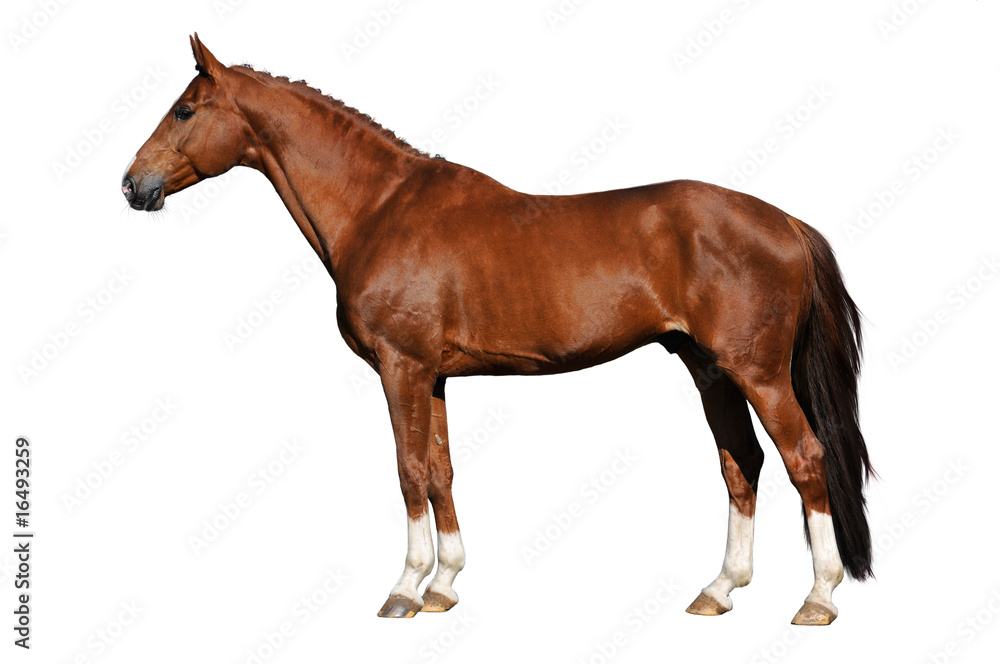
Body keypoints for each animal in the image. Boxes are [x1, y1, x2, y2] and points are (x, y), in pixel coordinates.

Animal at [122, 34, 872, 625]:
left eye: (185, 108)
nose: (133, 184)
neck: (380, 207)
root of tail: (785, 224)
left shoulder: (401, 367)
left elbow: (408, 471)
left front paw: (404, 590)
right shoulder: (432, 375)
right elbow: (441, 471)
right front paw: (444, 585)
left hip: (759, 372)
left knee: (804, 458)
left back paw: (818, 599)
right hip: (709, 368)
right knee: (740, 463)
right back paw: (719, 590)